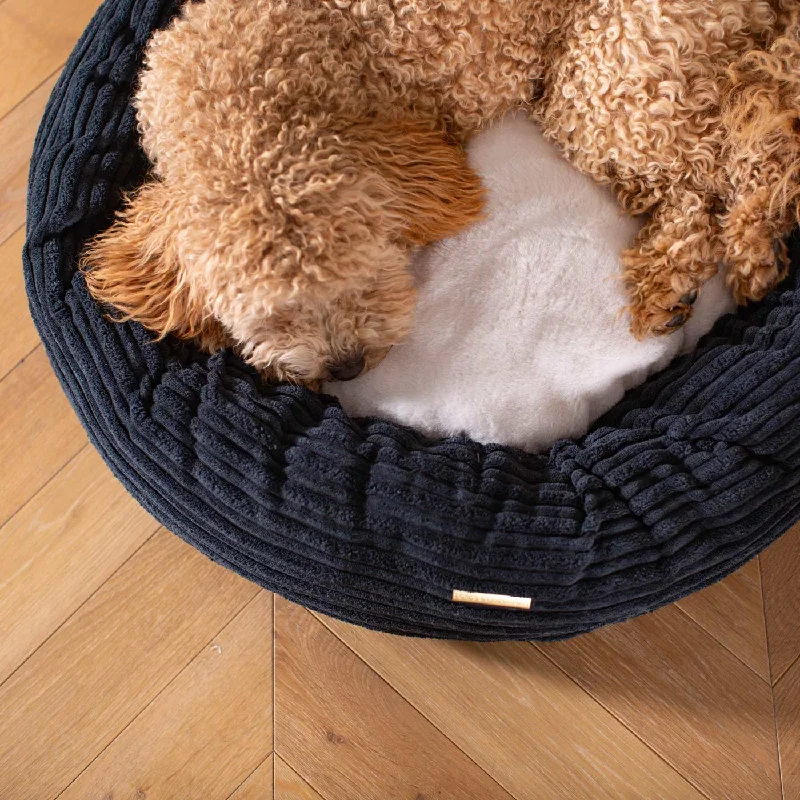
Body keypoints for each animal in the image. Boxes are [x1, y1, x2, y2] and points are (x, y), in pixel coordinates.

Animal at [83, 0, 800, 384]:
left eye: (370, 276)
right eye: (273, 317)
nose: (346, 367)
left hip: (610, 72)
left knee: (744, 156)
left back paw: (753, 243)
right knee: (694, 188)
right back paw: (668, 285)